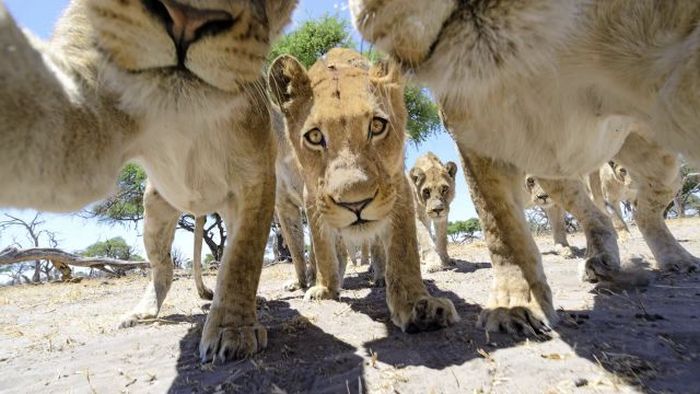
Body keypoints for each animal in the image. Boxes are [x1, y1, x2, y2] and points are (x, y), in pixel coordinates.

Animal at [0, 0, 298, 364]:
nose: (187, 19)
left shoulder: (257, 178)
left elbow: (242, 258)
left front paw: (232, 331)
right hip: (154, 209)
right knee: (162, 267)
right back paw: (141, 313)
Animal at [266, 47, 456, 332]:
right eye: (314, 136)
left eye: (377, 126)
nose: (355, 204)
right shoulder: (310, 196)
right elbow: (321, 247)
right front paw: (324, 287)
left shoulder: (397, 182)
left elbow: (403, 247)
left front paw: (416, 303)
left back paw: (379, 275)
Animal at [352, 1, 696, 338]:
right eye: (425, 192)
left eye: (444, 190)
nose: (436, 206)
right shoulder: (473, 139)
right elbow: (500, 228)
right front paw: (514, 305)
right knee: (611, 212)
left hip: (649, 159)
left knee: (638, 208)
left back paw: (668, 259)